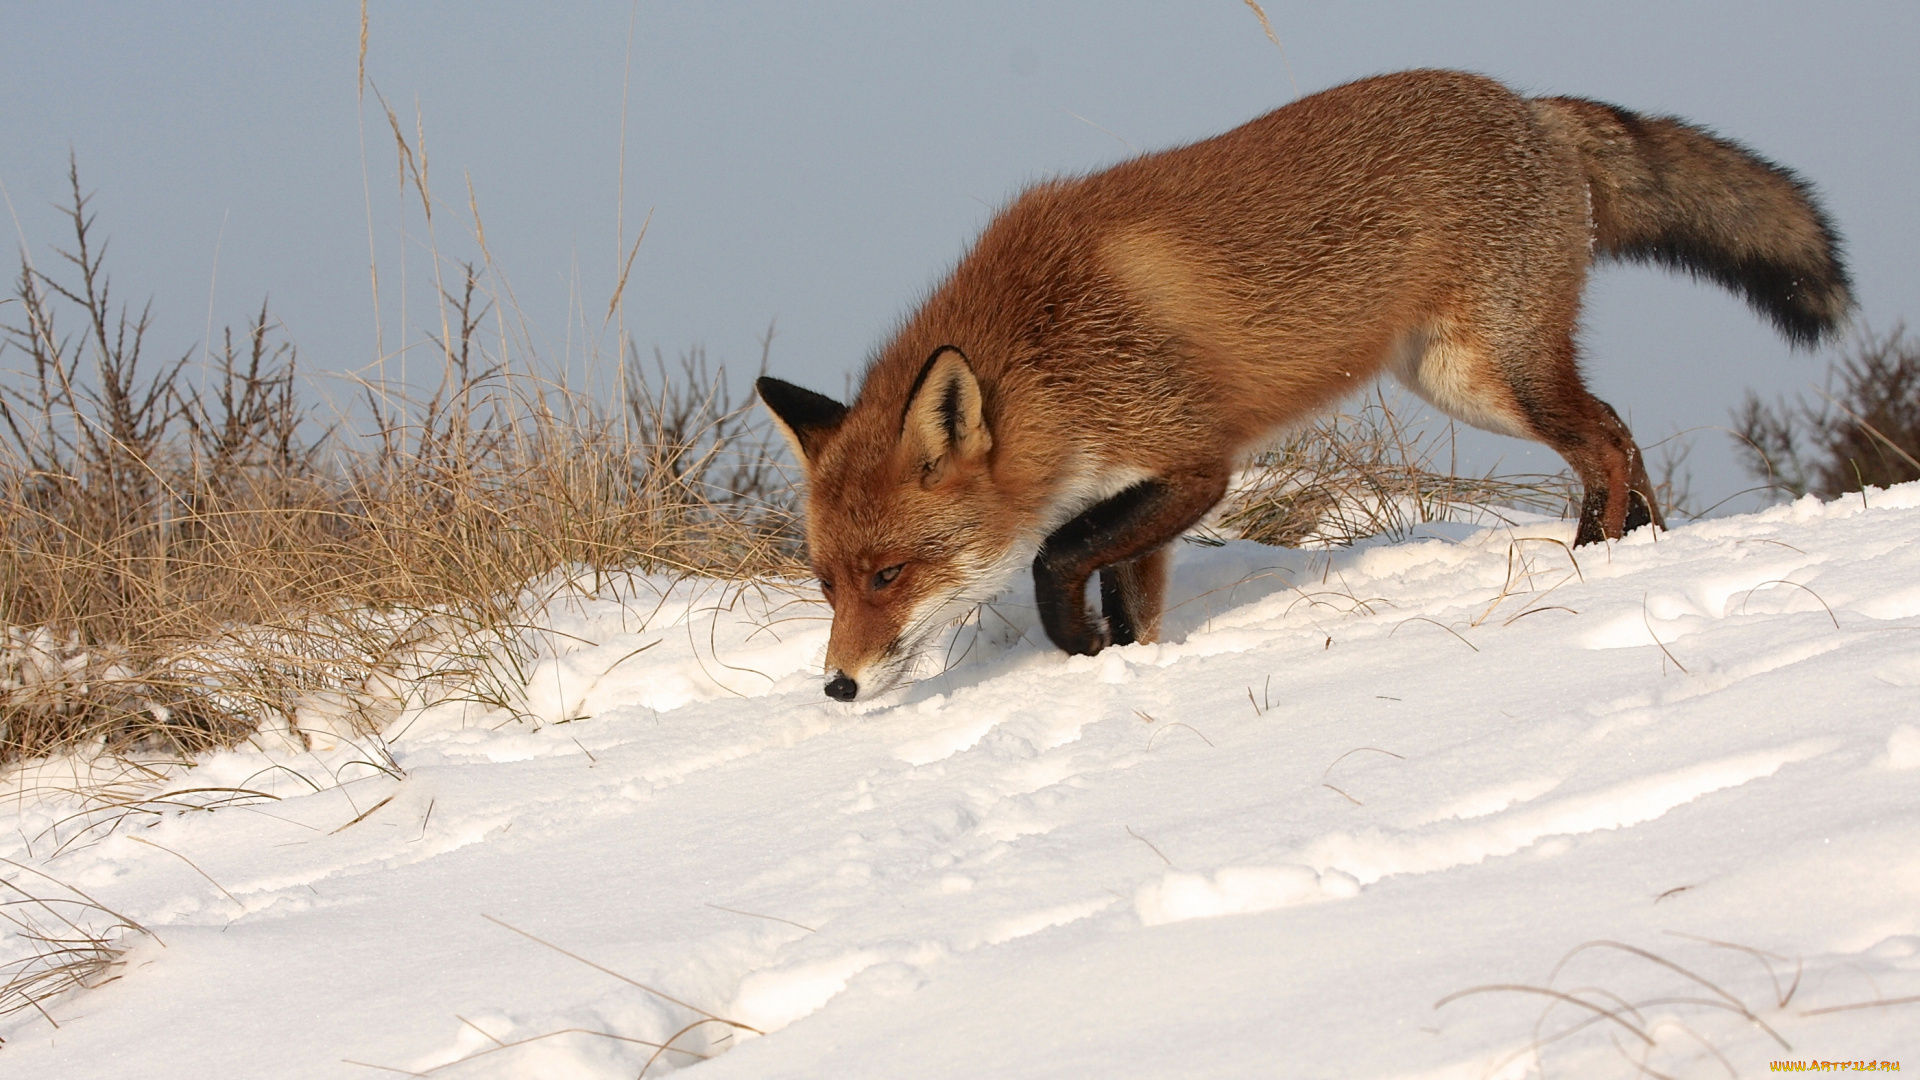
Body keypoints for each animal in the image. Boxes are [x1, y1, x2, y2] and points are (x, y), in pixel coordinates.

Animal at [756, 71, 1850, 703]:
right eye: (827, 584)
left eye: (889, 576)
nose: (837, 687)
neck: (1049, 353)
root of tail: (1529, 106)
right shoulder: (1134, 494)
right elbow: (1126, 593)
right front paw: (1119, 663)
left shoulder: (1196, 464)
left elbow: (1055, 557)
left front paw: (1076, 647)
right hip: (1461, 379)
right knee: (1616, 425)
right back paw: (1643, 548)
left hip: (1488, 377)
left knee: (1607, 443)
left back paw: (1594, 559)